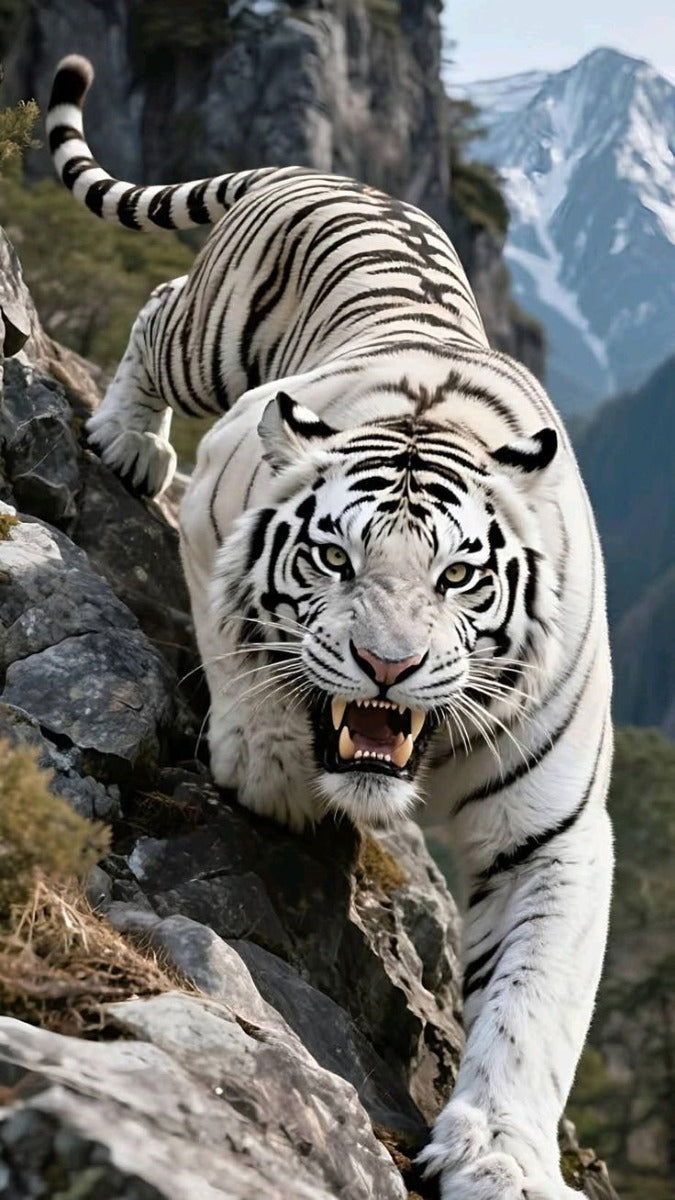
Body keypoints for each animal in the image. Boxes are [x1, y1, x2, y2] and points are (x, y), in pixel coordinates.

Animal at [47, 53, 614, 1200]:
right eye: (334, 558)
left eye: (457, 577)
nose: (386, 667)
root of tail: (330, 173)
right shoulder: (222, 498)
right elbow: (241, 647)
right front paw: (269, 763)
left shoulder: (555, 830)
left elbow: (533, 1003)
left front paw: (501, 1155)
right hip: (213, 347)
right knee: (157, 310)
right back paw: (125, 441)